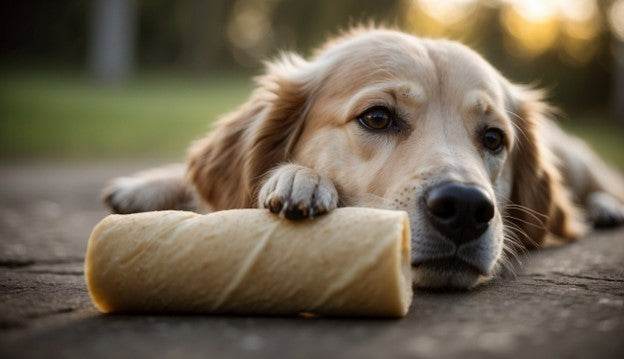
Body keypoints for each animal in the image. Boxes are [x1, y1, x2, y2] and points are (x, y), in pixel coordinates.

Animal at [103, 28, 624, 290]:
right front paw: (300, 178)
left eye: (494, 138)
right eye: (377, 117)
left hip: (575, 158)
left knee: (597, 185)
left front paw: (298, 179)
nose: (465, 208)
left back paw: (606, 207)